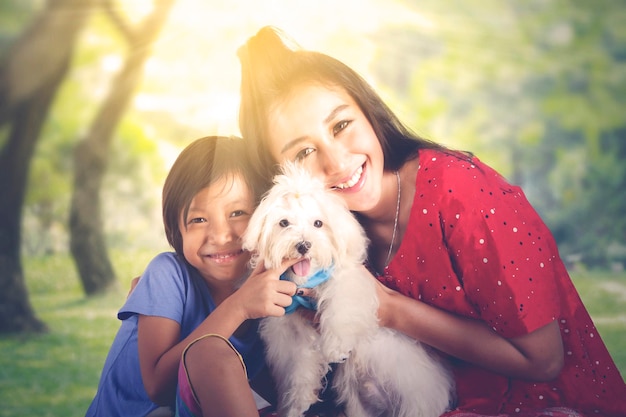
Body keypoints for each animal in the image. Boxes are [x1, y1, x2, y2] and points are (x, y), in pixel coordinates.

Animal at [241, 162, 450, 416]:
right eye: (283, 223)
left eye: (318, 223)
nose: (303, 245)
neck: (307, 282)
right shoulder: (292, 329)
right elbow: (299, 366)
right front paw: (296, 403)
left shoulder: (350, 284)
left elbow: (341, 308)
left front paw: (336, 347)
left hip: (414, 396)